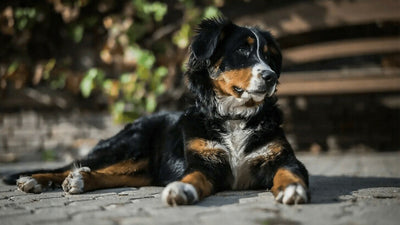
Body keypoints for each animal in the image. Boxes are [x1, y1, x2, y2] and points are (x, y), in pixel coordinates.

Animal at [3, 18, 310, 206]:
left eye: (269, 55)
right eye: (243, 51)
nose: (270, 76)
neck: (234, 118)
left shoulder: (283, 158)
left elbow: (289, 172)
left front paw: (291, 189)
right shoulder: (204, 163)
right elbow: (192, 177)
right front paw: (181, 189)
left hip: (141, 167)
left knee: (105, 174)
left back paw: (80, 180)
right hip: (127, 146)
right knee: (72, 165)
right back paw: (35, 180)